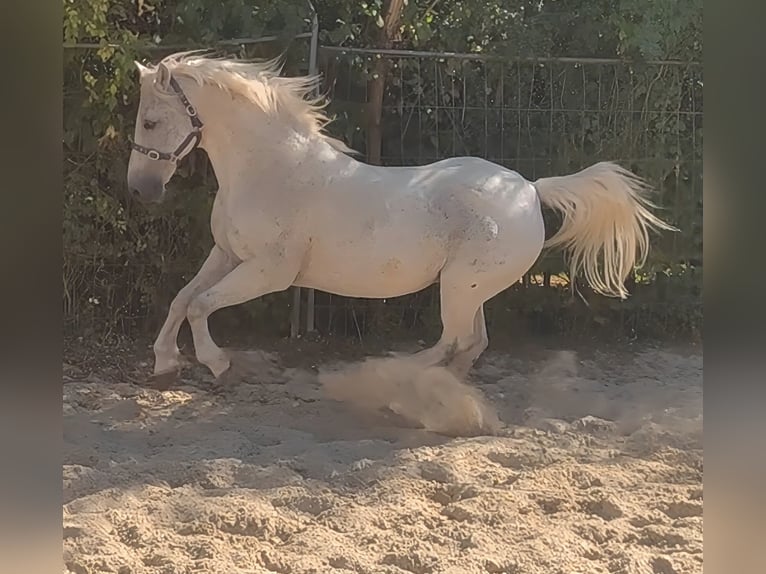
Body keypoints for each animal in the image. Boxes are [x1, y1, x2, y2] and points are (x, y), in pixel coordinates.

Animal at [126, 52, 675, 386]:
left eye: (151, 122)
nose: (140, 189)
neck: (273, 170)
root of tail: (528, 189)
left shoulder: (268, 271)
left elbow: (202, 305)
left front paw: (217, 363)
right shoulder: (226, 254)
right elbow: (183, 299)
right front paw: (164, 361)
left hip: (459, 286)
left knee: (455, 340)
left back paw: (391, 375)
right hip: (469, 288)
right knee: (471, 342)